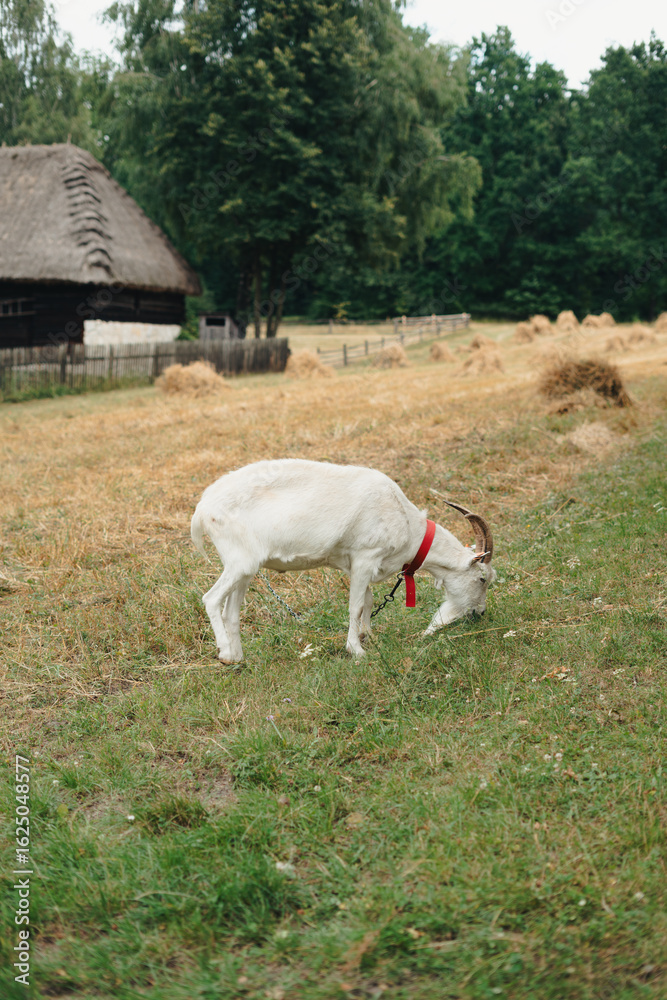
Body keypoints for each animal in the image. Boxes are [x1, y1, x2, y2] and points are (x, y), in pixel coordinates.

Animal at [191, 459, 495, 662]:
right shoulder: (365, 556)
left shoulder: (357, 563)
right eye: (482, 579)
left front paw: (368, 636)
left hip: (246, 569)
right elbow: (355, 606)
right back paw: (225, 653)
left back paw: (239, 659)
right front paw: (357, 650)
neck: (407, 522)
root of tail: (203, 509)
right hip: (238, 562)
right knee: (211, 598)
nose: (479, 613)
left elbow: (368, 602)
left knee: (231, 611)